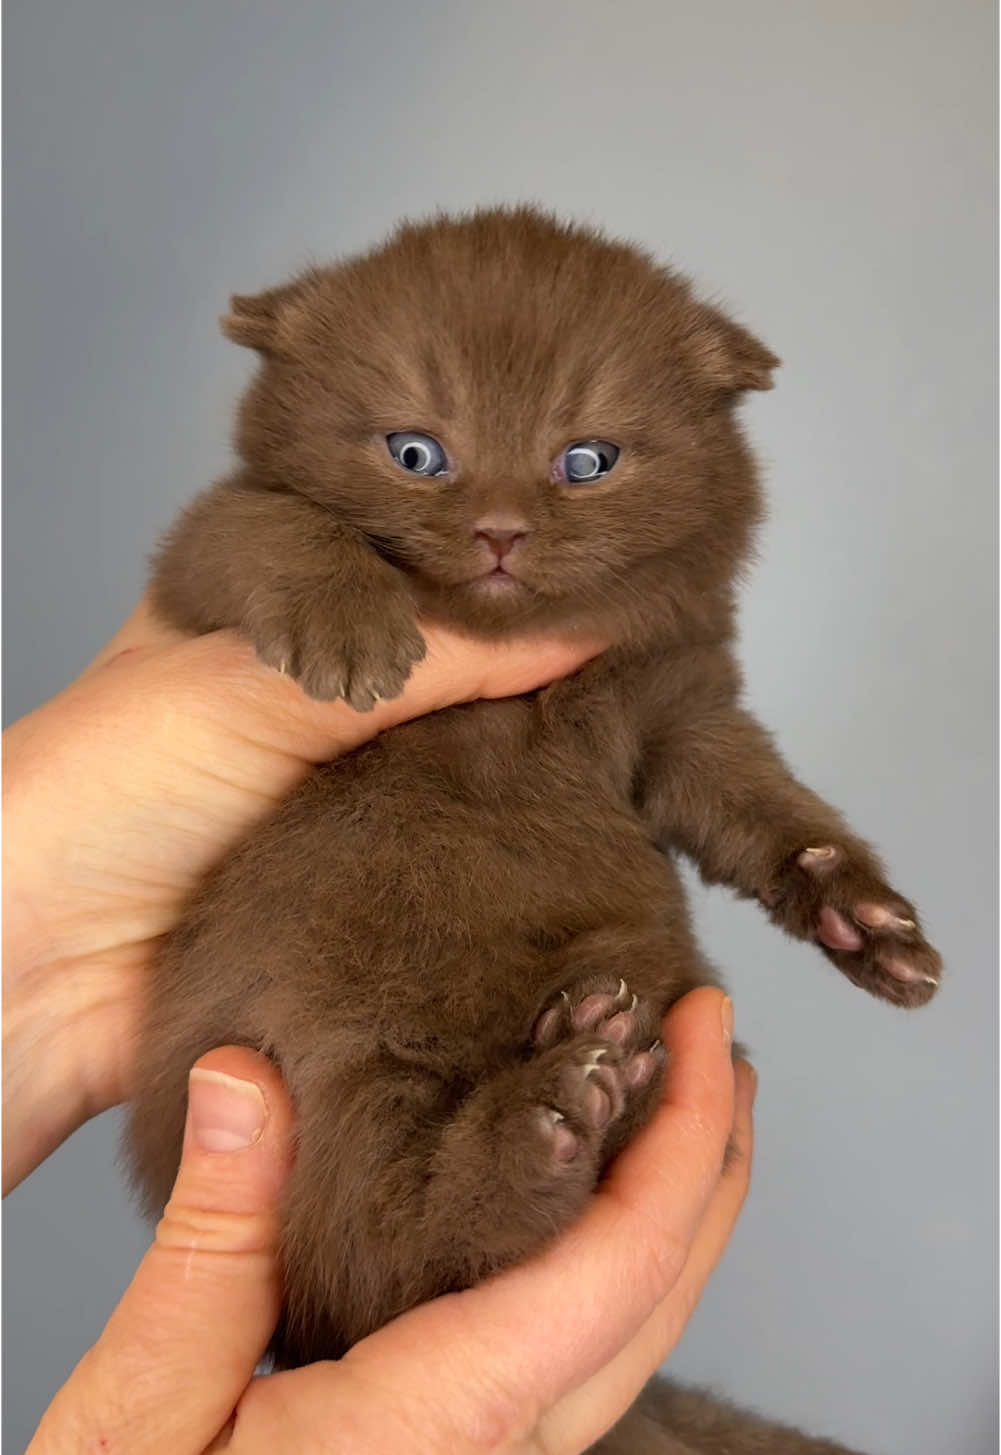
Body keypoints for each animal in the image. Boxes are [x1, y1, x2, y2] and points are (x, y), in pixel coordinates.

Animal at [127, 208, 936, 1455]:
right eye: (415, 452)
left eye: (585, 460)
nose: (500, 532)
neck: (522, 694)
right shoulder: (190, 579)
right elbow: (264, 521)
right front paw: (350, 624)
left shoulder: (680, 706)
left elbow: (752, 802)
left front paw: (858, 914)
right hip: (334, 1084)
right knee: (396, 1258)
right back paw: (545, 1115)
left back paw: (580, 1063)